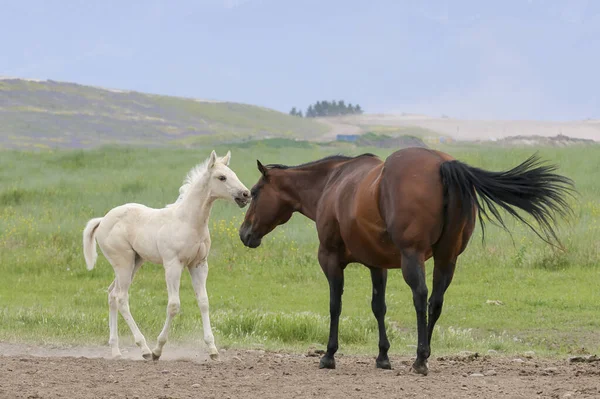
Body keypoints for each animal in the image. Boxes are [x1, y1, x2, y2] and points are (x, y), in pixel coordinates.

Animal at [81, 151, 248, 362]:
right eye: (222, 177)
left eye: (233, 174)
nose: (246, 194)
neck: (188, 222)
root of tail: (103, 220)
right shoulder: (173, 265)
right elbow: (174, 305)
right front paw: (157, 350)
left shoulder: (199, 265)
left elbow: (203, 302)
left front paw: (212, 350)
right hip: (123, 263)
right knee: (121, 298)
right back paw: (144, 348)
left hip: (135, 262)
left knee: (112, 294)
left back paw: (116, 351)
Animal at [237, 147, 576, 376]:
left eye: (254, 192)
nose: (244, 233)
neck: (332, 183)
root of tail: (443, 164)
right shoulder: (378, 265)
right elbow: (379, 307)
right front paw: (382, 357)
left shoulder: (331, 260)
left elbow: (335, 306)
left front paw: (329, 355)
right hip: (446, 259)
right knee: (435, 301)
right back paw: (421, 357)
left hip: (414, 259)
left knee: (421, 296)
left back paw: (421, 358)